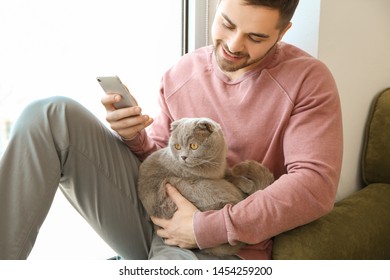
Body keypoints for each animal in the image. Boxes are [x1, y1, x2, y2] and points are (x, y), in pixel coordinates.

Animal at [138, 117, 274, 256]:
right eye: (177, 146)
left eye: (193, 146)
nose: (183, 157)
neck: (215, 163)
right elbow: (230, 174)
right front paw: (249, 185)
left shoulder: (221, 172)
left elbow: (230, 172)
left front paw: (246, 183)